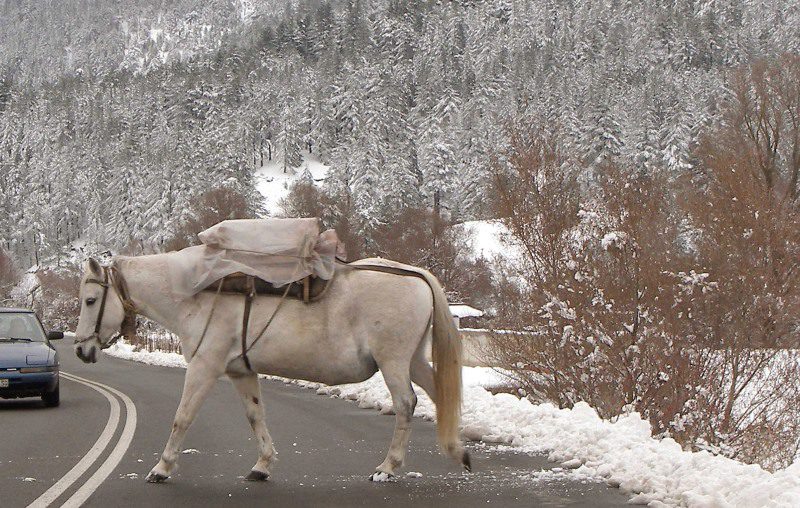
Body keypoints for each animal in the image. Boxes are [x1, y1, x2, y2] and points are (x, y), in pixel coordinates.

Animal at [74, 256, 468, 482]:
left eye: (91, 300)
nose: (80, 349)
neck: (198, 296)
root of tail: (416, 275)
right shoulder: (240, 371)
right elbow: (255, 416)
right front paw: (262, 464)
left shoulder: (204, 366)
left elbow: (182, 417)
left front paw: (162, 467)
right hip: (413, 360)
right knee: (440, 394)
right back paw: (456, 449)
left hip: (394, 361)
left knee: (406, 404)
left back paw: (388, 466)